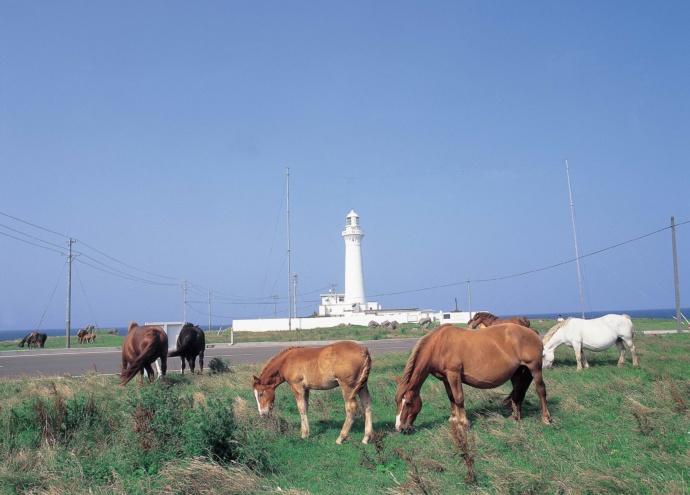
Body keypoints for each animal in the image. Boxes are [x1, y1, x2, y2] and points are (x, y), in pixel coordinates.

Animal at [396, 322, 552, 434]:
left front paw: (463, 424)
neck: (439, 345)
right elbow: (451, 398)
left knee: (541, 390)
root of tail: (532, 332)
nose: (399, 427)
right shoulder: (446, 378)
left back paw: (546, 418)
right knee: (518, 391)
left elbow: (459, 398)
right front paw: (454, 418)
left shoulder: (454, 374)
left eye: (408, 403)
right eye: (396, 401)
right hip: (518, 372)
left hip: (535, 368)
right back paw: (515, 416)